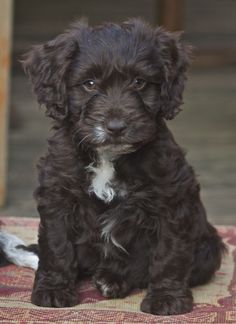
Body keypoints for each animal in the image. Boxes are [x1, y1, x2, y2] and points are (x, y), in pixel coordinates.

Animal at [5, 19, 227, 316]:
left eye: (139, 82)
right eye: (89, 84)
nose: (116, 127)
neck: (108, 156)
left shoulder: (171, 198)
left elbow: (169, 252)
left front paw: (167, 299)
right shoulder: (58, 194)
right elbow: (56, 244)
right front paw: (53, 290)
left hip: (207, 247)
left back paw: (112, 281)